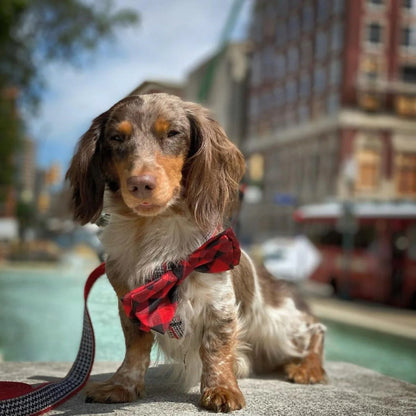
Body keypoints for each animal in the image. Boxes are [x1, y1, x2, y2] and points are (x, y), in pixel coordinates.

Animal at [66, 93, 324, 412]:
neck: (154, 229)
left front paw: (222, 389)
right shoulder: (131, 303)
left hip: (279, 324)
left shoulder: (219, 305)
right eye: (116, 138)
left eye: (173, 133)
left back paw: (308, 367)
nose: (140, 184)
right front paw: (122, 385)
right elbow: (134, 351)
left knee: (315, 330)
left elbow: (216, 350)